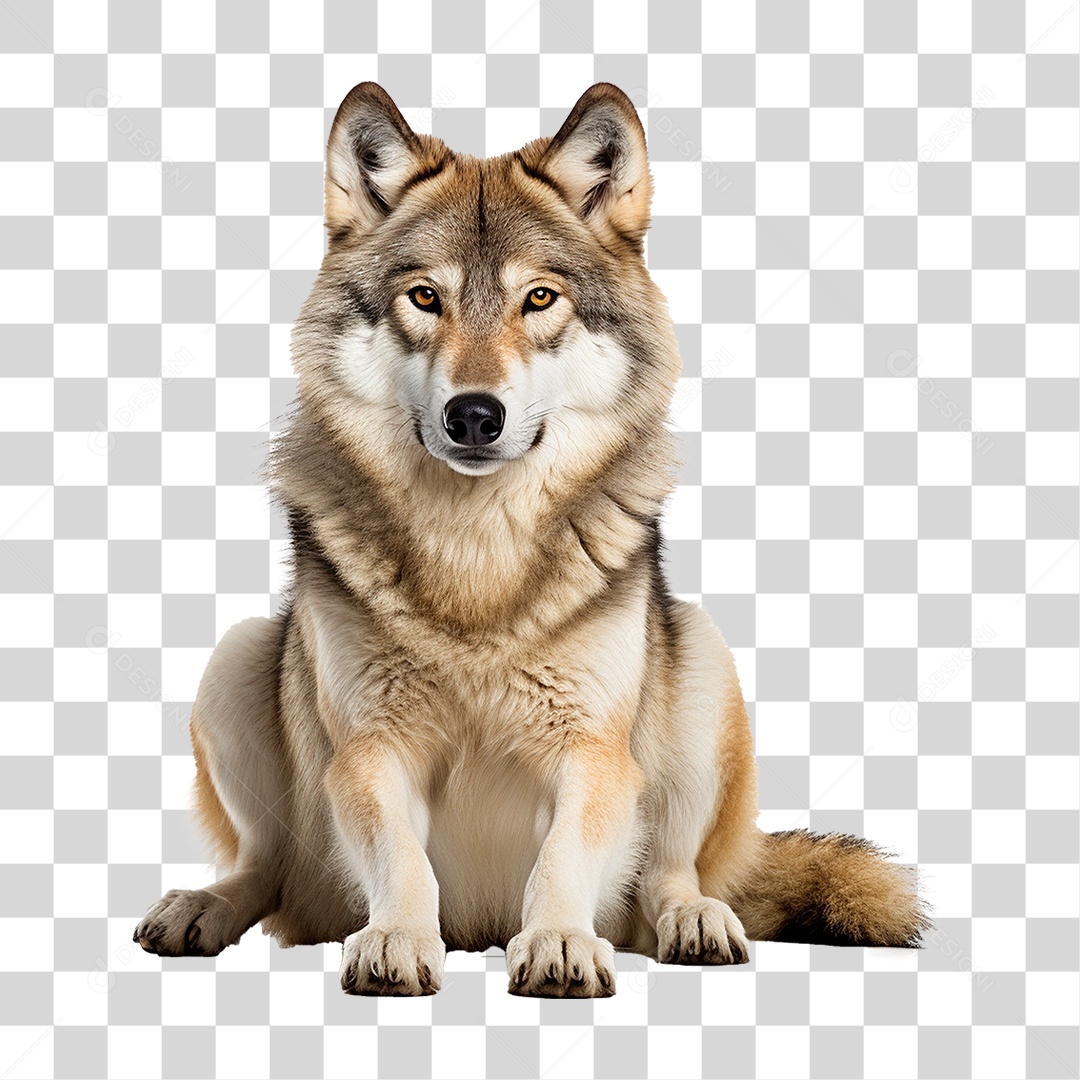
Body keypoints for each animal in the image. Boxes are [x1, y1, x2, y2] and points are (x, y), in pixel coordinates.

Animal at [135, 82, 929, 997]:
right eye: (425, 298)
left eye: (539, 299)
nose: (474, 415)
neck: (478, 551)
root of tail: (476, 931)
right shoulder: (368, 752)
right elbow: (402, 860)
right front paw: (397, 940)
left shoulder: (592, 753)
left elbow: (562, 860)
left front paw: (556, 943)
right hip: (237, 660)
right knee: (264, 870)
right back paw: (201, 907)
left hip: (701, 661)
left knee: (670, 875)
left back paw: (696, 921)